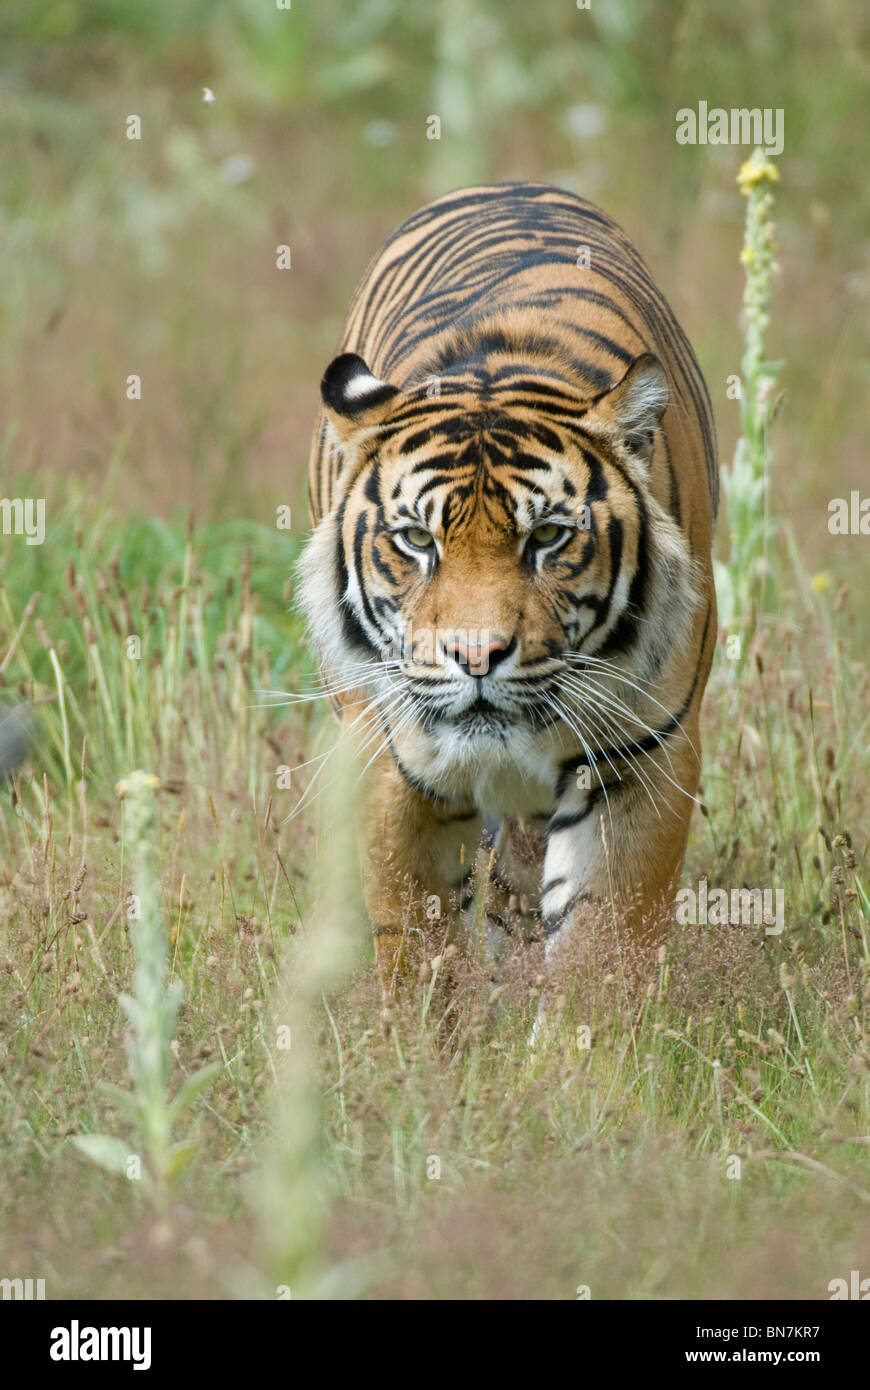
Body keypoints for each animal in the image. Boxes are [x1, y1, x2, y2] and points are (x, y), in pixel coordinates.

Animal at [294, 182, 717, 989]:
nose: (475, 656)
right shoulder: (394, 762)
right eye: (417, 540)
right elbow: (418, 945)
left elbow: (598, 950)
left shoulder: (644, 759)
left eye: (547, 537)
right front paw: (432, 1022)